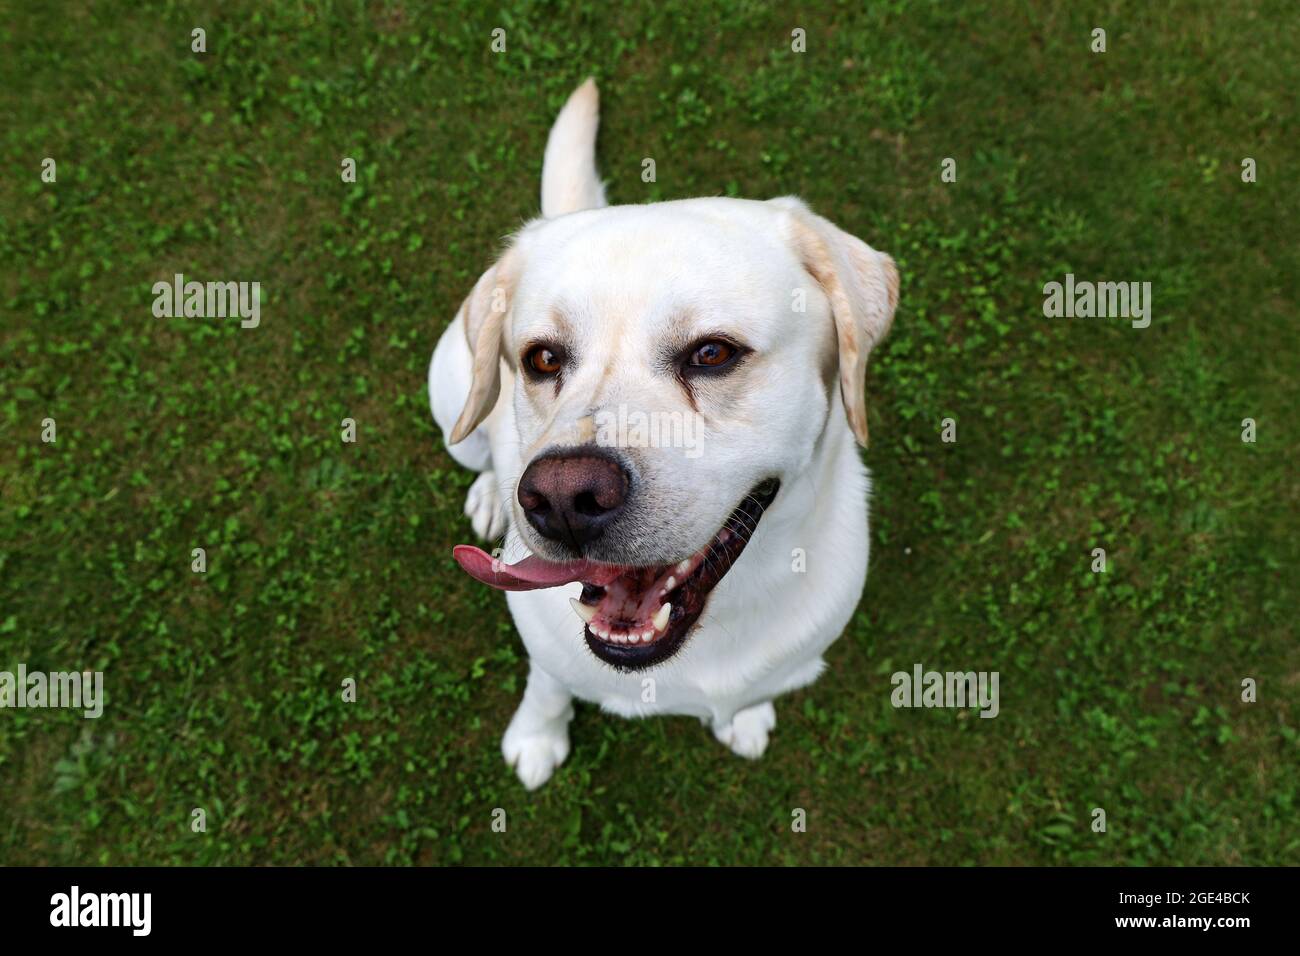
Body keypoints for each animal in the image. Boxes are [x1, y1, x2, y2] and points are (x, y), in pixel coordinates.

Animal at [431, 78, 899, 790]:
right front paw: (537, 737)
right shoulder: (547, 652)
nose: (563, 498)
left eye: (712, 353)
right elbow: (547, 687)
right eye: (542, 359)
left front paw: (744, 719)